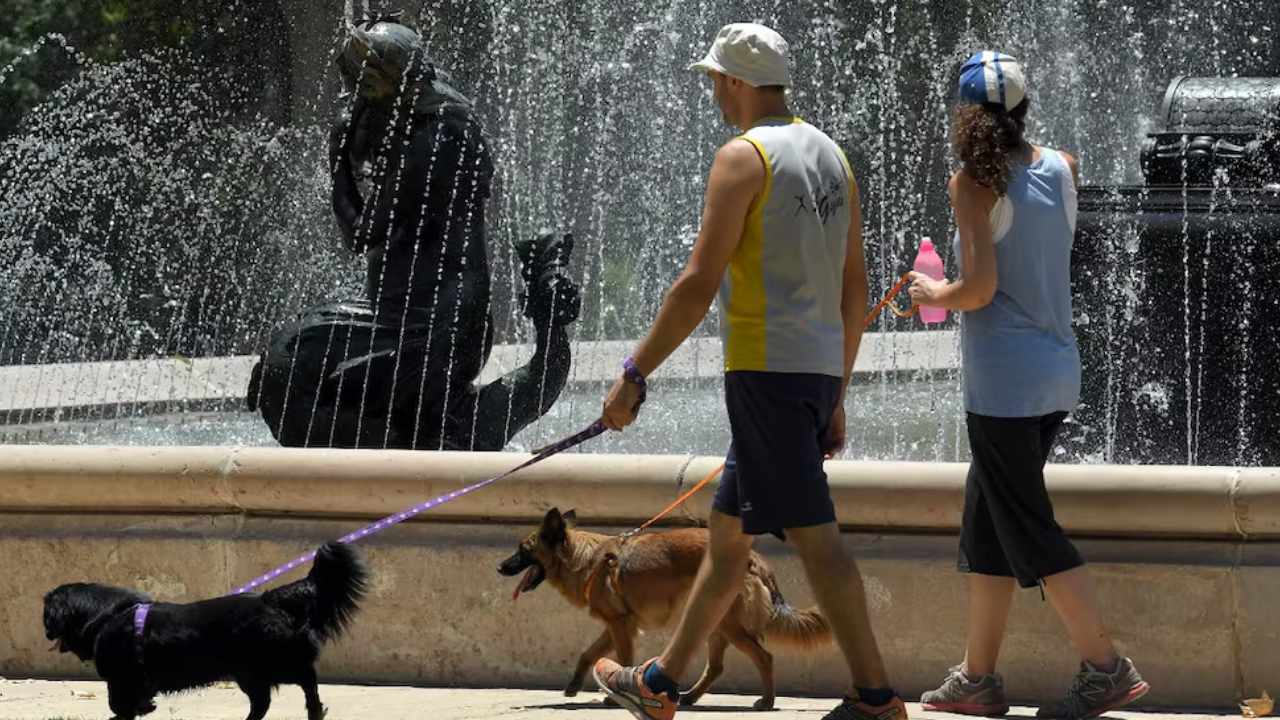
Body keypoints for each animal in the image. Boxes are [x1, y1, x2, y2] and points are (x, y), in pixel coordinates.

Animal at [43, 540, 366, 712]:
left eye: (48, 617)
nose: (46, 633)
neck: (109, 615)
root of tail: (272, 599)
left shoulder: (121, 679)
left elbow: (118, 705)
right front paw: (146, 707)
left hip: (270, 663)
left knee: (303, 681)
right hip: (252, 671)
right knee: (270, 699)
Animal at [499, 504, 829, 707]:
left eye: (523, 550)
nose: (499, 567)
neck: (585, 558)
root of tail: (755, 560)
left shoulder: (620, 626)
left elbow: (622, 658)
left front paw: (614, 695)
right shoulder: (615, 624)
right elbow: (587, 654)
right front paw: (574, 685)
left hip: (729, 625)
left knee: (764, 658)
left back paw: (767, 702)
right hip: (715, 624)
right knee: (716, 666)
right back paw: (690, 696)